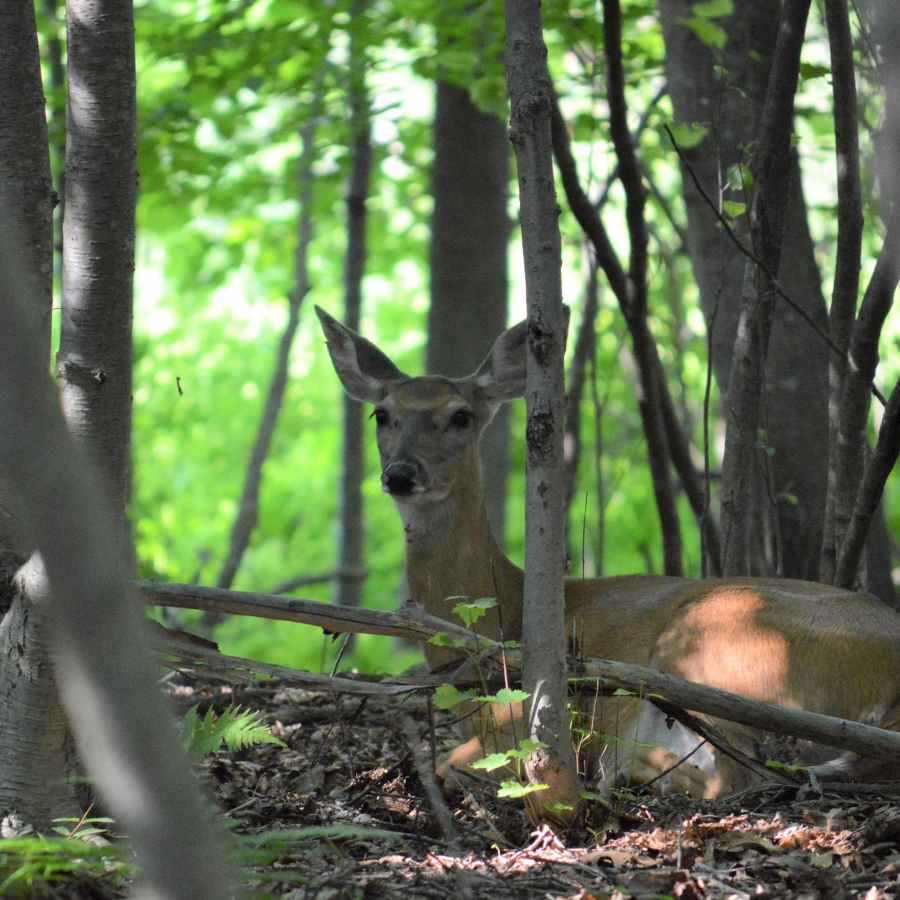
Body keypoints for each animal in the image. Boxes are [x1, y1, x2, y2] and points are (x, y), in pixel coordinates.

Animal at [318, 306, 900, 800]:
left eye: (461, 415)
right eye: (381, 415)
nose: (400, 473)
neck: (502, 612)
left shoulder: (515, 716)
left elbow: (449, 762)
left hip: (719, 642)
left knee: (737, 774)